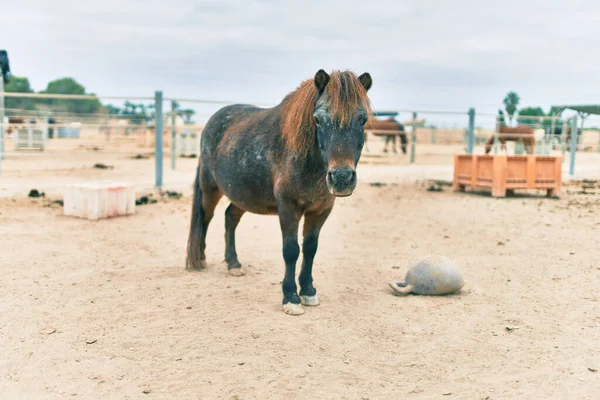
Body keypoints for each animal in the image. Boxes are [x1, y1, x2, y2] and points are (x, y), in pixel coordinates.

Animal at [185, 69, 372, 316]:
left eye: (363, 119)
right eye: (318, 119)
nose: (341, 178)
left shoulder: (321, 210)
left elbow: (310, 249)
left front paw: (308, 291)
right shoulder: (288, 207)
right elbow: (291, 250)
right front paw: (290, 297)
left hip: (242, 195)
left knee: (230, 218)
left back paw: (234, 264)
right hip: (210, 188)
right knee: (205, 217)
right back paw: (201, 259)